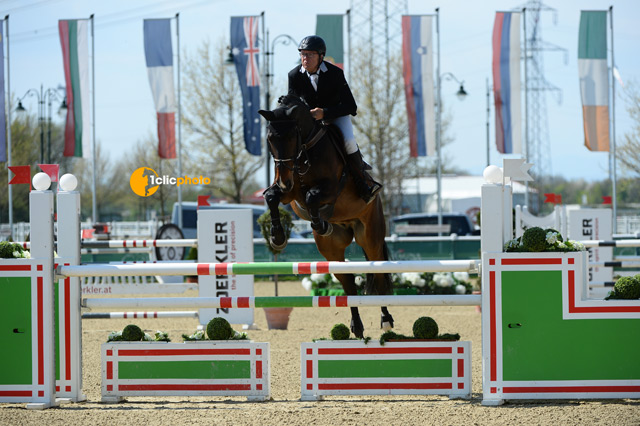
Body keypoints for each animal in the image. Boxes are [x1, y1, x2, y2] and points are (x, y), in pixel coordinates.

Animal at [258, 94, 393, 338]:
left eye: (291, 137)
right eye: (270, 139)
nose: (283, 180)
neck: (306, 150)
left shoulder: (330, 188)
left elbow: (312, 196)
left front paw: (320, 223)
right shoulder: (290, 193)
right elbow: (272, 197)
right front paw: (277, 237)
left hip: (371, 237)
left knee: (378, 275)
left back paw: (386, 319)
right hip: (331, 250)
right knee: (348, 282)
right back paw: (357, 326)